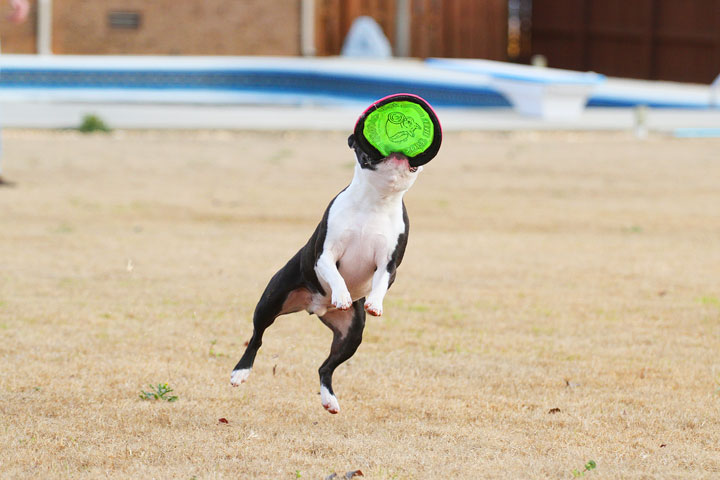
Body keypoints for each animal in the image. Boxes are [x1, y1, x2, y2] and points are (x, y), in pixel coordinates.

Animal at [231, 94, 438, 412]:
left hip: (352, 333)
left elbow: (381, 283)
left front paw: (375, 303)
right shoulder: (324, 256)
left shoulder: (389, 264)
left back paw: (329, 399)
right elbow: (335, 274)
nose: (399, 153)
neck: (376, 201)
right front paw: (341, 295)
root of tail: (314, 306)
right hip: (272, 300)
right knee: (257, 338)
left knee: (325, 367)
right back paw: (240, 372)